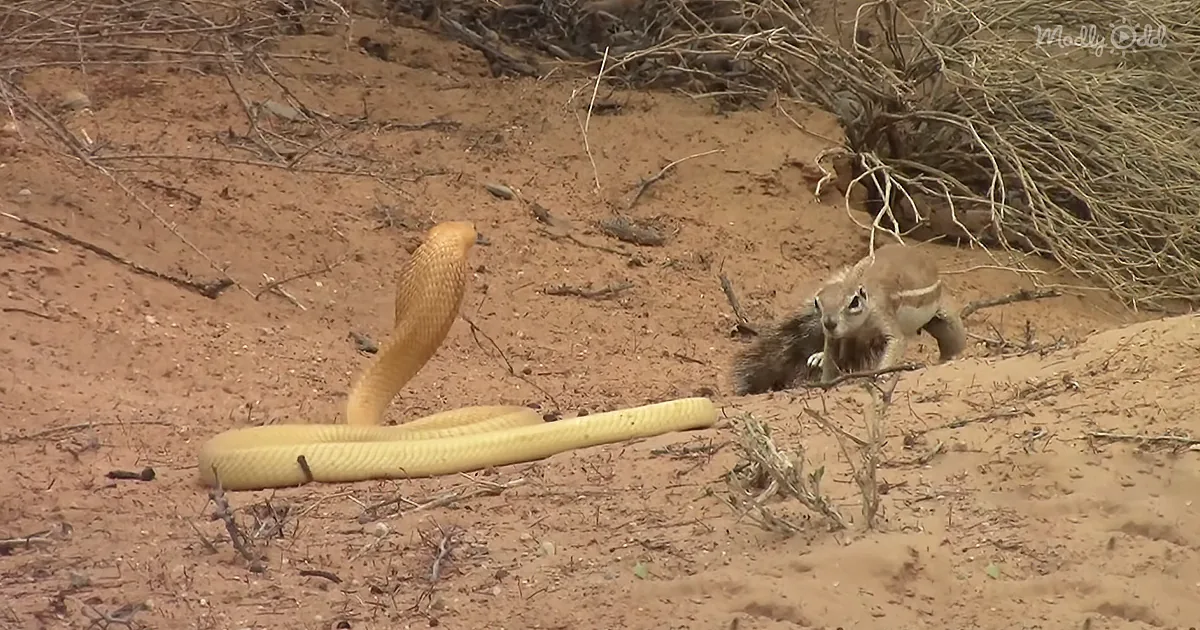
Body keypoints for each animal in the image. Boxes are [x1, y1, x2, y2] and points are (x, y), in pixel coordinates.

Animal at [730, 242, 967, 395]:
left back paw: (952, 358)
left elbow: (896, 341)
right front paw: (824, 381)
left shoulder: (884, 316)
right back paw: (818, 357)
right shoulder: (834, 337)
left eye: (854, 302)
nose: (829, 323)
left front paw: (882, 374)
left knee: (952, 336)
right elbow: (830, 356)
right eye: (817, 303)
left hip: (943, 316)